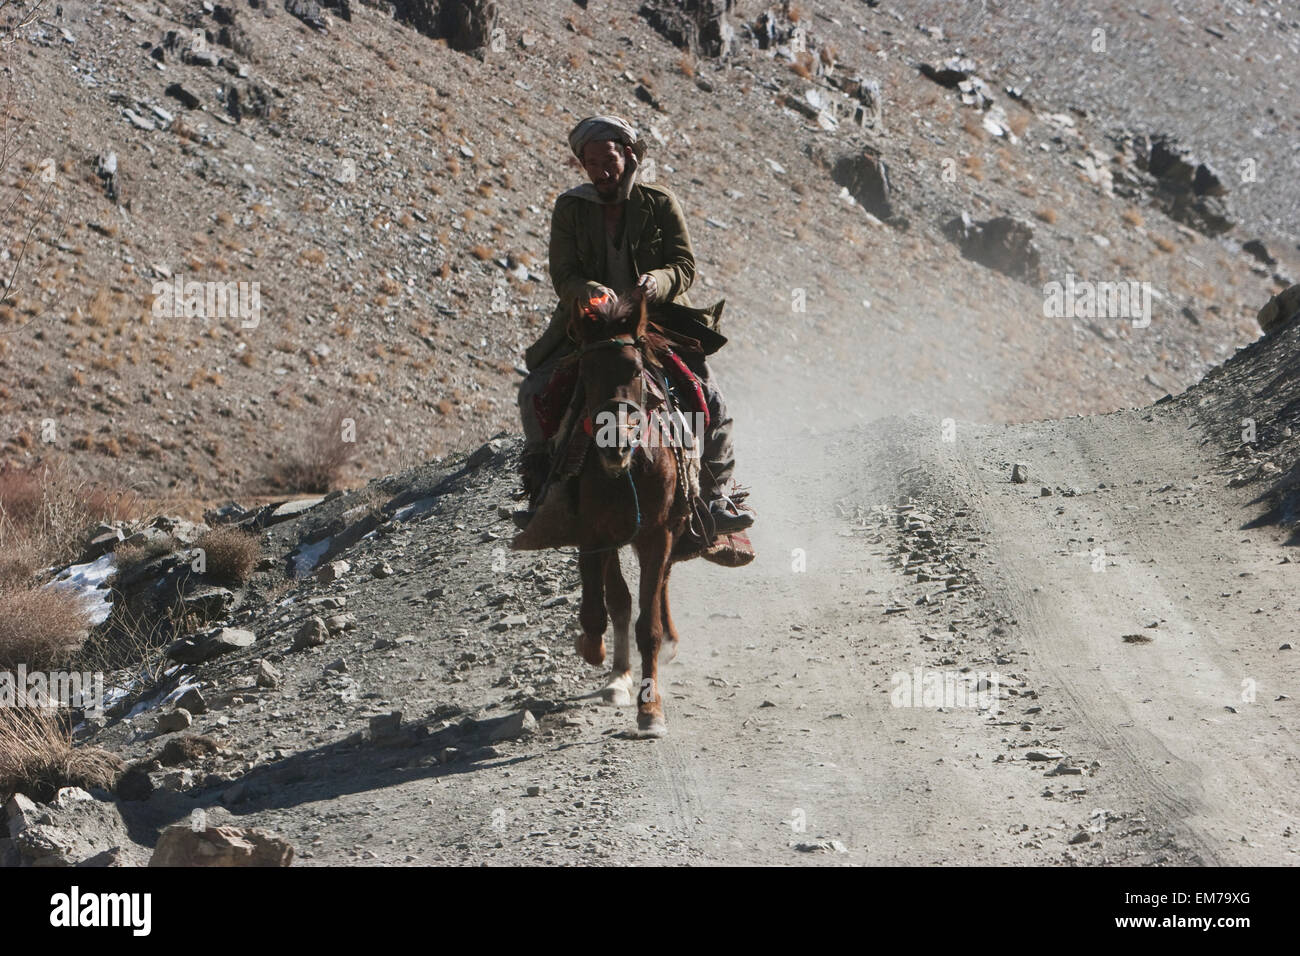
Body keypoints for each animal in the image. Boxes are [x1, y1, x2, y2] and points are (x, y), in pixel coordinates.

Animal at [569, 287, 691, 738]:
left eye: (637, 370)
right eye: (585, 372)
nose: (615, 446)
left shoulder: (657, 532)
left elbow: (647, 624)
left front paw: (650, 711)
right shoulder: (592, 532)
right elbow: (597, 610)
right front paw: (592, 649)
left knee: (659, 586)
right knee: (617, 598)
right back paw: (617, 676)